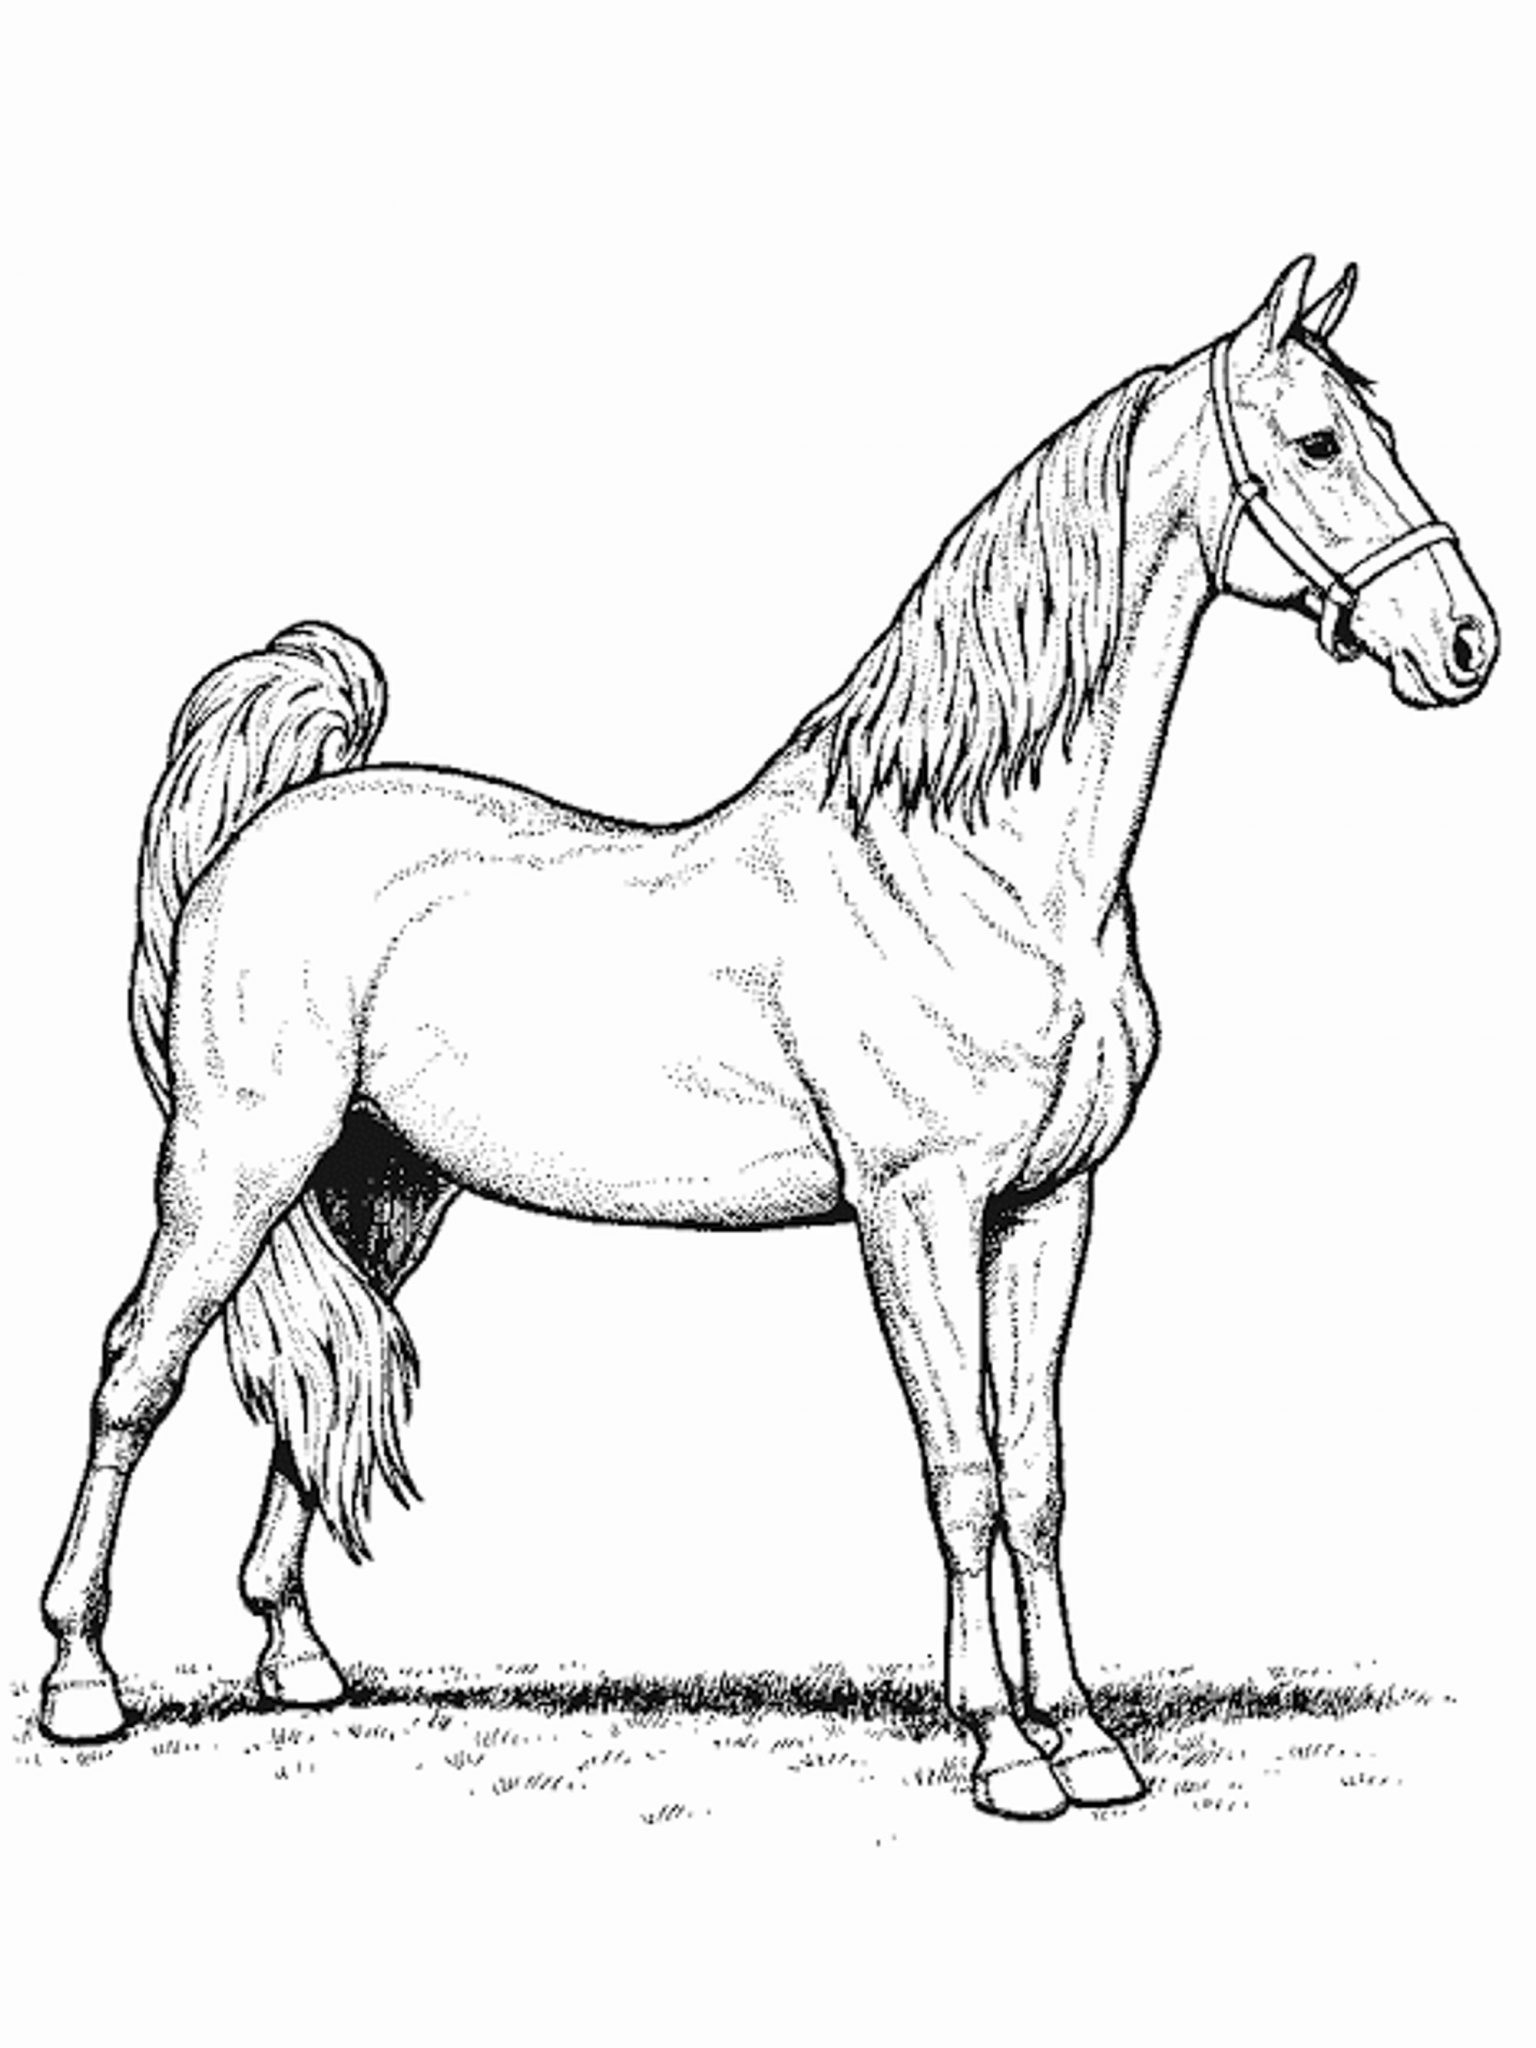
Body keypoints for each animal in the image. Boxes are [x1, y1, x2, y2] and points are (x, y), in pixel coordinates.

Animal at [39, 257, 1498, 1818]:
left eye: (1376, 430)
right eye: (1319, 444)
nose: (1467, 641)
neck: (979, 867)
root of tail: (266, 827)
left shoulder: (1051, 1206)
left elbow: (1037, 1472)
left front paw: (1088, 1740)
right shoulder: (916, 1208)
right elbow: (961, 1468)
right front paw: (1003, 1748)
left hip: (382, 1189)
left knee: (320, 1366)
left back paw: (298, 1660)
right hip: (234, 1166)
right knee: (136, 1370)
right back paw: (81, 1681)